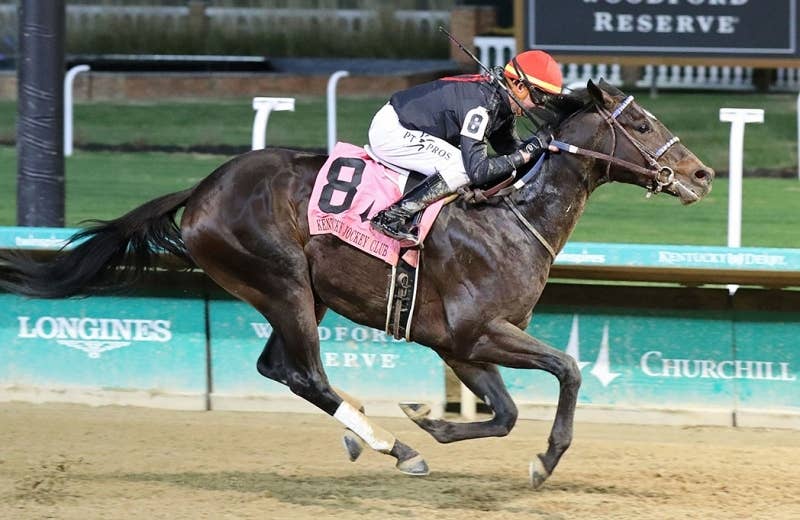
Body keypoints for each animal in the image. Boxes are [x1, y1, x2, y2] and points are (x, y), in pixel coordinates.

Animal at [0, 79, 713, 488]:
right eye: (641, 125)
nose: (702, 174)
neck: (513, 217)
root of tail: (202, 189)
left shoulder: (459, 344)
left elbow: (507, 413)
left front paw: (433, 420)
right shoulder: (478, 332)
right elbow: (567, 369)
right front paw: (544, 460)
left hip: (296, 296)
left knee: (279, 369)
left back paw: (375, 433)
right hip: (282, 282)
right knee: (306, 373)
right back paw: (391, 446)